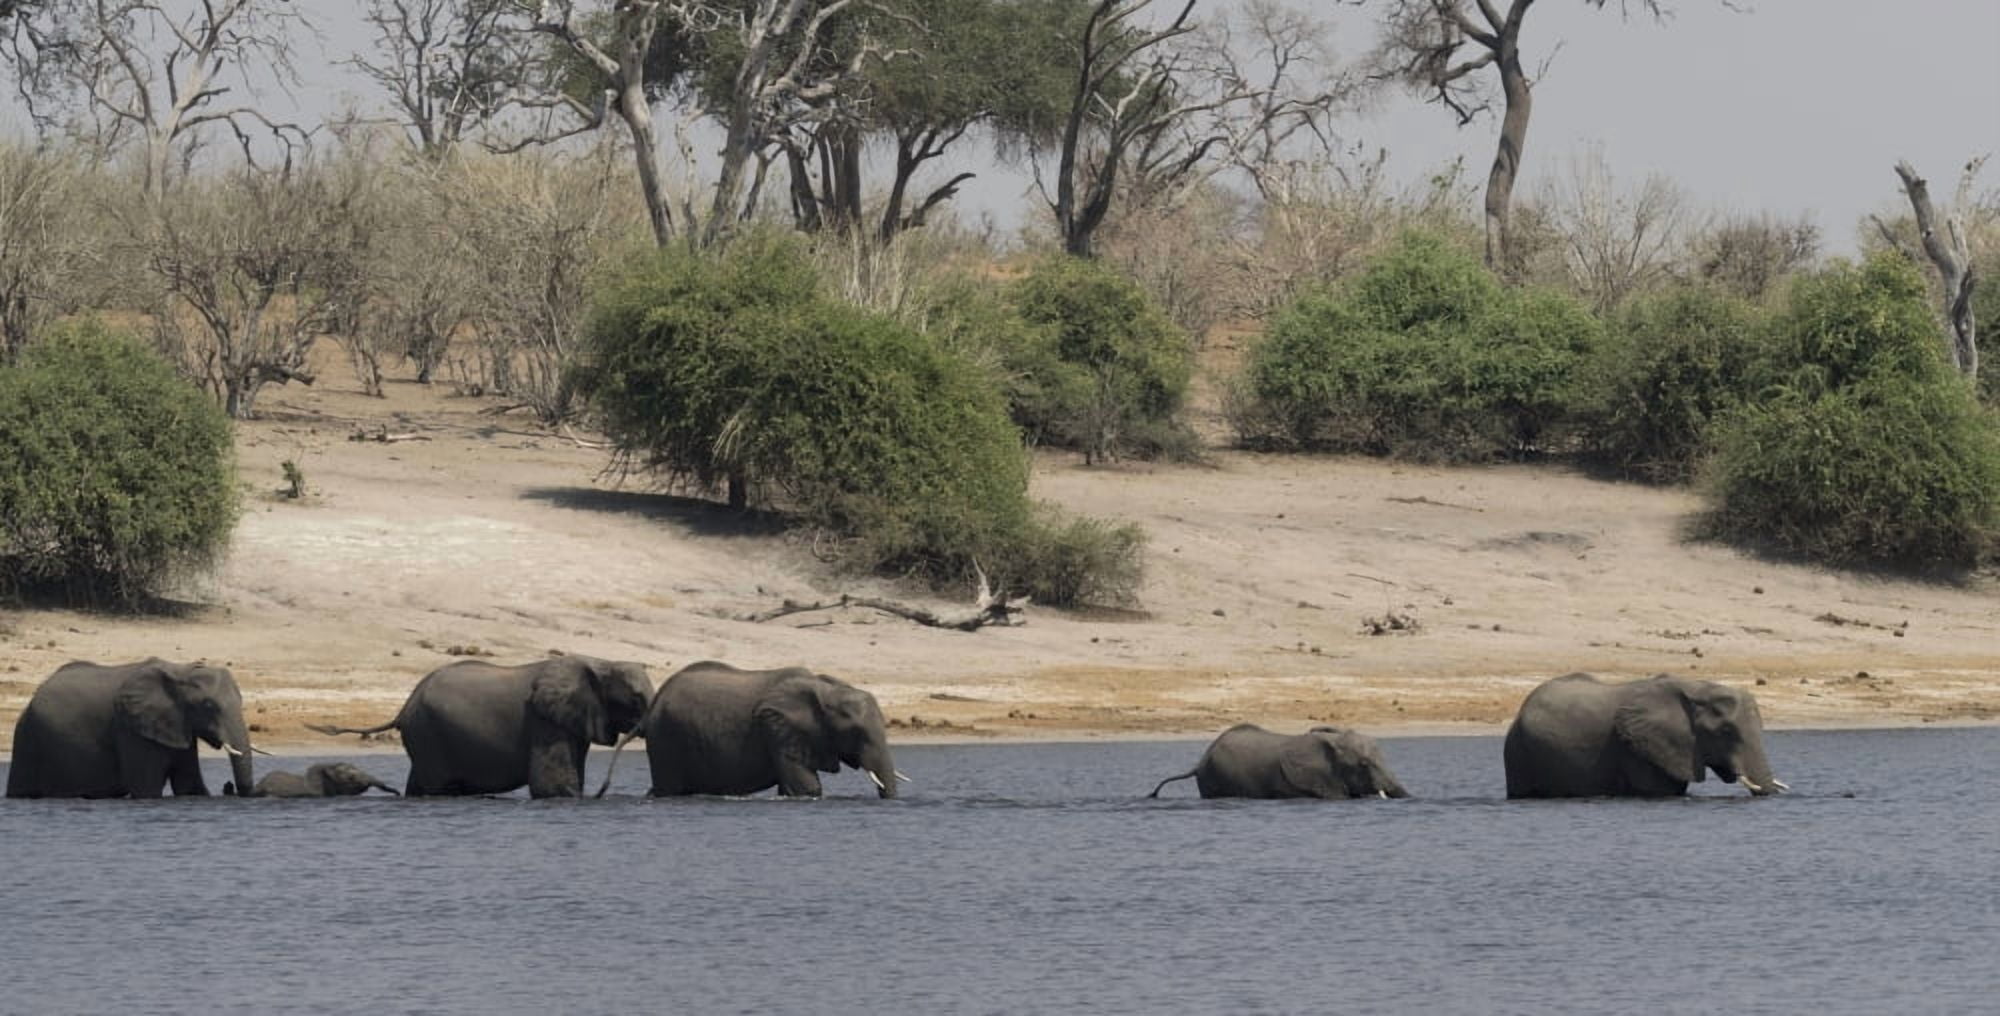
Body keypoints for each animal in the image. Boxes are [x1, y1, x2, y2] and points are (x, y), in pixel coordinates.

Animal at [6, 658, 255, 799]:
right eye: (208, 706)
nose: (228, 786)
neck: (180, 671)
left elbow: (189, 785)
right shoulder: (130, 728)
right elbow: (147, 789)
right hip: (27, 736)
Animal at [309, 655, 652, 798]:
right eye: (636, 699)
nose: (603, 792)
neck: (600, 663)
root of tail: (404, 706)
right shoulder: (544, 720)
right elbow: (550, 786)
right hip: (430, 734)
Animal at [606, 661, 899, 799]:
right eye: (856, 732)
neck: (826, 688)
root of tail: (651, 708)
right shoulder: (778, 731)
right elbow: (806, 788)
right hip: (666, 738)